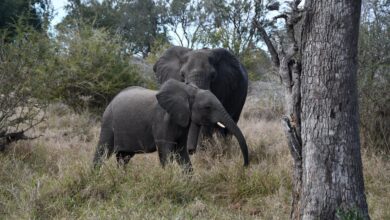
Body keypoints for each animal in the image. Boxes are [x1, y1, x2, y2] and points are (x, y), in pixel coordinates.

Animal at [93, 79, 248, 170]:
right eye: (208, 107)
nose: (244, 166)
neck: (188, 91)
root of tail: (112, 100)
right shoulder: (162, 120)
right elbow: (165, 151)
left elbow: (181, 152)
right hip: (108, 122)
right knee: (103, 150)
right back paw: (95, 176)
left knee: (124, 157)